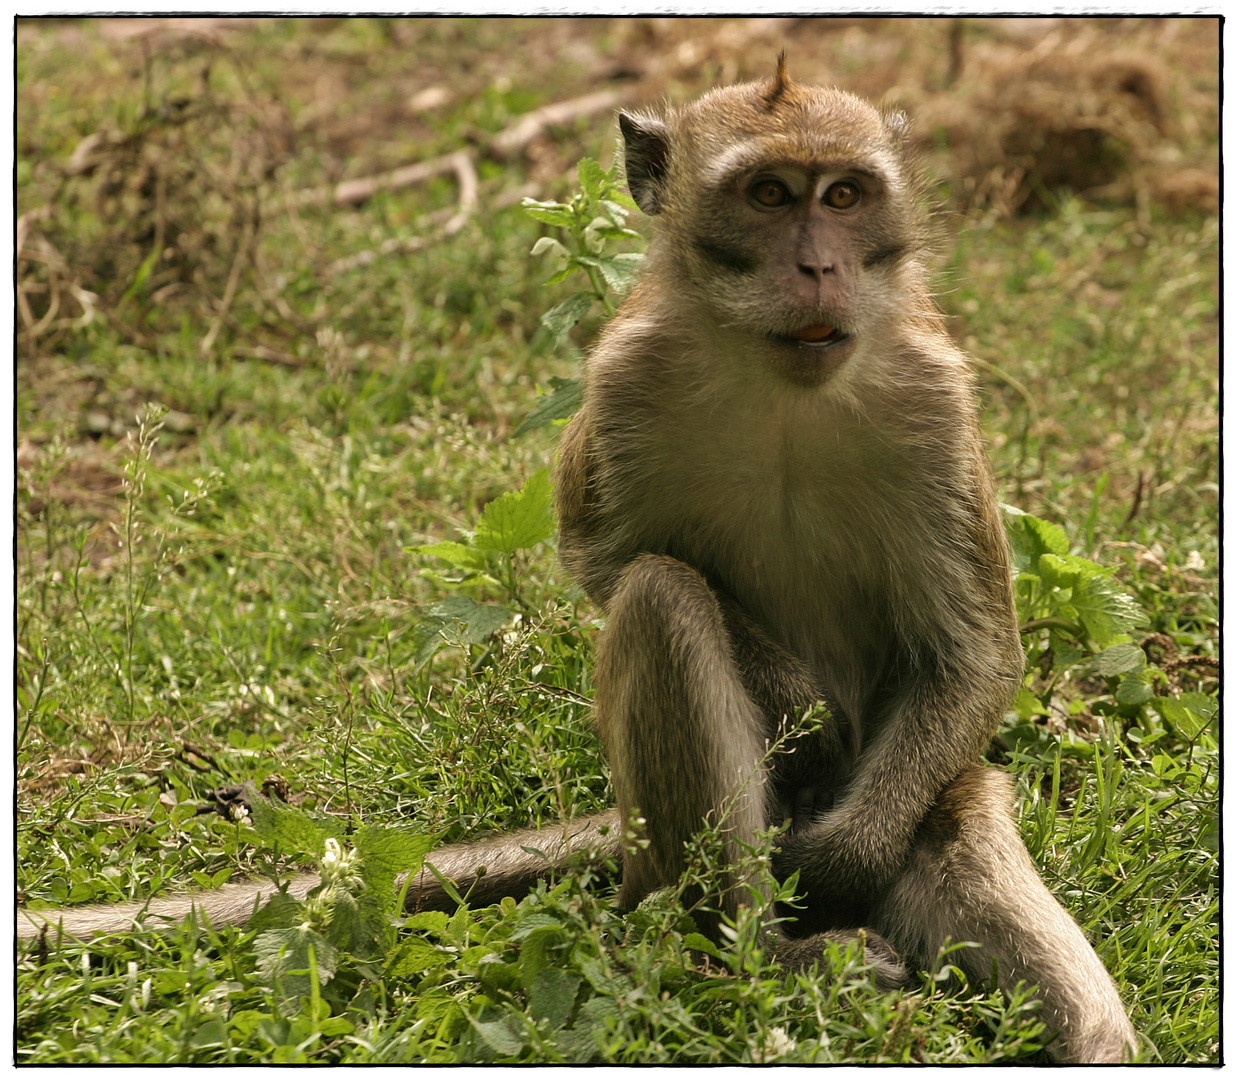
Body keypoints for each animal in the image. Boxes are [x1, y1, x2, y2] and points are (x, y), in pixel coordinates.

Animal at [19, 63, 1138, 1063]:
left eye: (844, 196)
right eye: (770, 196)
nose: (820, 267)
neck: (778, 381)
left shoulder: (936, 403)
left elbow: (971, 653)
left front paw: (845, 849)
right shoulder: (623, 379)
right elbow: (605, 560)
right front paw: (792, 700)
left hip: (934, 795)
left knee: (1002, 888)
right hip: (662, 867)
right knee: (663, 604)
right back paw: (762, 954)